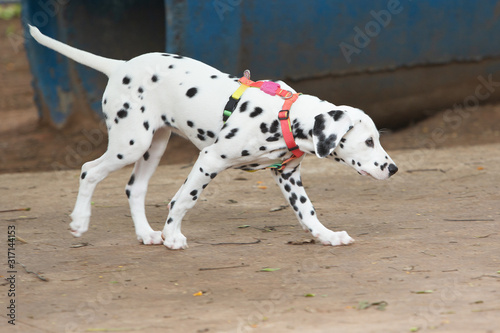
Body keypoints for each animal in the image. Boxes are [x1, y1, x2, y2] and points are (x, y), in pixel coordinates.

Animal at [31, 25, 398, 249]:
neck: (285, 115)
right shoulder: (210, 159)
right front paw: (173, 235)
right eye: (369, 142)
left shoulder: (288, 175)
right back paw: (80, 222)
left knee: (134, 188)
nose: (393, 169)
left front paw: (327, 236)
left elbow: (307, 211)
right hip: (130, 145)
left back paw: (146, 233)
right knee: (89, 170)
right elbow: (184, 199)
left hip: (153, 147)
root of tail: (120, 66)